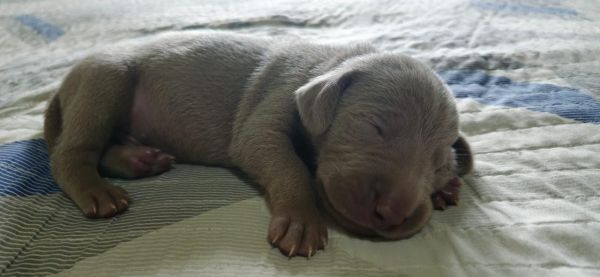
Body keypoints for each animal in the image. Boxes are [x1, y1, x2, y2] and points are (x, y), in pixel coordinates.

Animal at [43, 31, 474, 258]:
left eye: (438, 164)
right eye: (375, 127)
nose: (392, 212)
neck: (333, 62)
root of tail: (62, 88)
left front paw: (449, 189)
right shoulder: (273, 103)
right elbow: (291, 167)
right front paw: (301, 221)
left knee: (106, 146)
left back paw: (139, 160)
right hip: (106, 80)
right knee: (71, 152)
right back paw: (98, 191)